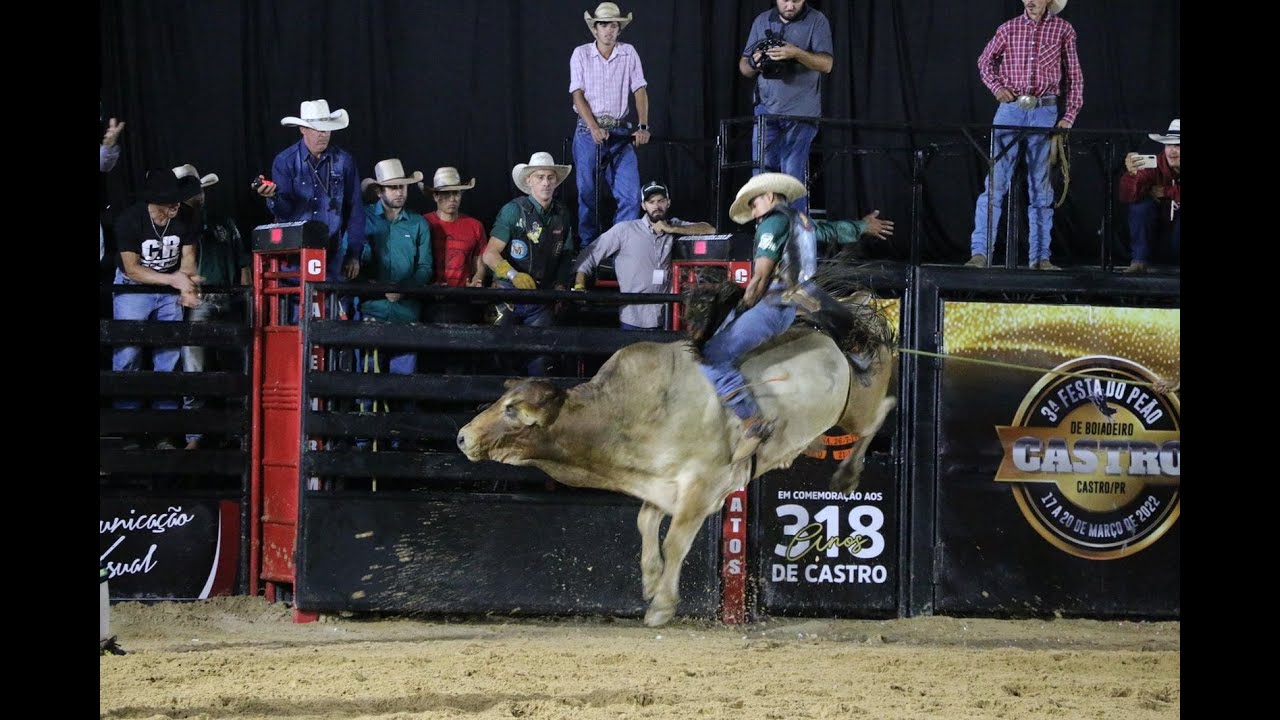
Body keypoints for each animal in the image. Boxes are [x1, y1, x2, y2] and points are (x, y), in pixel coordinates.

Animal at [455, 280, 896, 622]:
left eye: (512, 410)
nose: (462, 436)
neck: (627, 413)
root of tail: (836, 328)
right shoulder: (660, 484)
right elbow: (646, 523)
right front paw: (651, 582)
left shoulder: (702, 488)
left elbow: (675, 543)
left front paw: (663, 606)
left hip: (856, 408)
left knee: (880, 413)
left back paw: (848, 475)